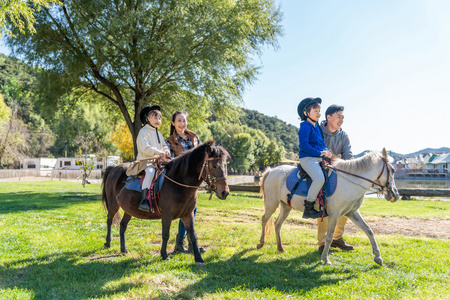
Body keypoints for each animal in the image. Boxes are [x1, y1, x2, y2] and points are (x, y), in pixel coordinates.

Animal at [101, 141, 229, 264]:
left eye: (225, 165)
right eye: (214, 165)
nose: (225, 192)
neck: (178, 183)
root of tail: (114, 168)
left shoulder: (188, 214)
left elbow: (193, 235)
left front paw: (198, 258)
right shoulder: (167, 215)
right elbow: (166, 234)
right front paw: (164, 255)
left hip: (129, 209)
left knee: (122, 225)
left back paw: (123, 249)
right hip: (113, 205)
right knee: (109, 220)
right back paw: (108, 243)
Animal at [258, 148, 400, 264]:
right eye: (393, 170)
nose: (395, 194)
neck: (350, 182)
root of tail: (271, 170)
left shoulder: (352, 213)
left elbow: (369, 230)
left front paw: (378, 257)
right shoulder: (334, 214)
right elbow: (329, 236)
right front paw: (325, 258)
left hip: (285, 206)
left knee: (277, 224)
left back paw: (280, 248)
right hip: (271, 203)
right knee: (264, 219)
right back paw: (261, 243)